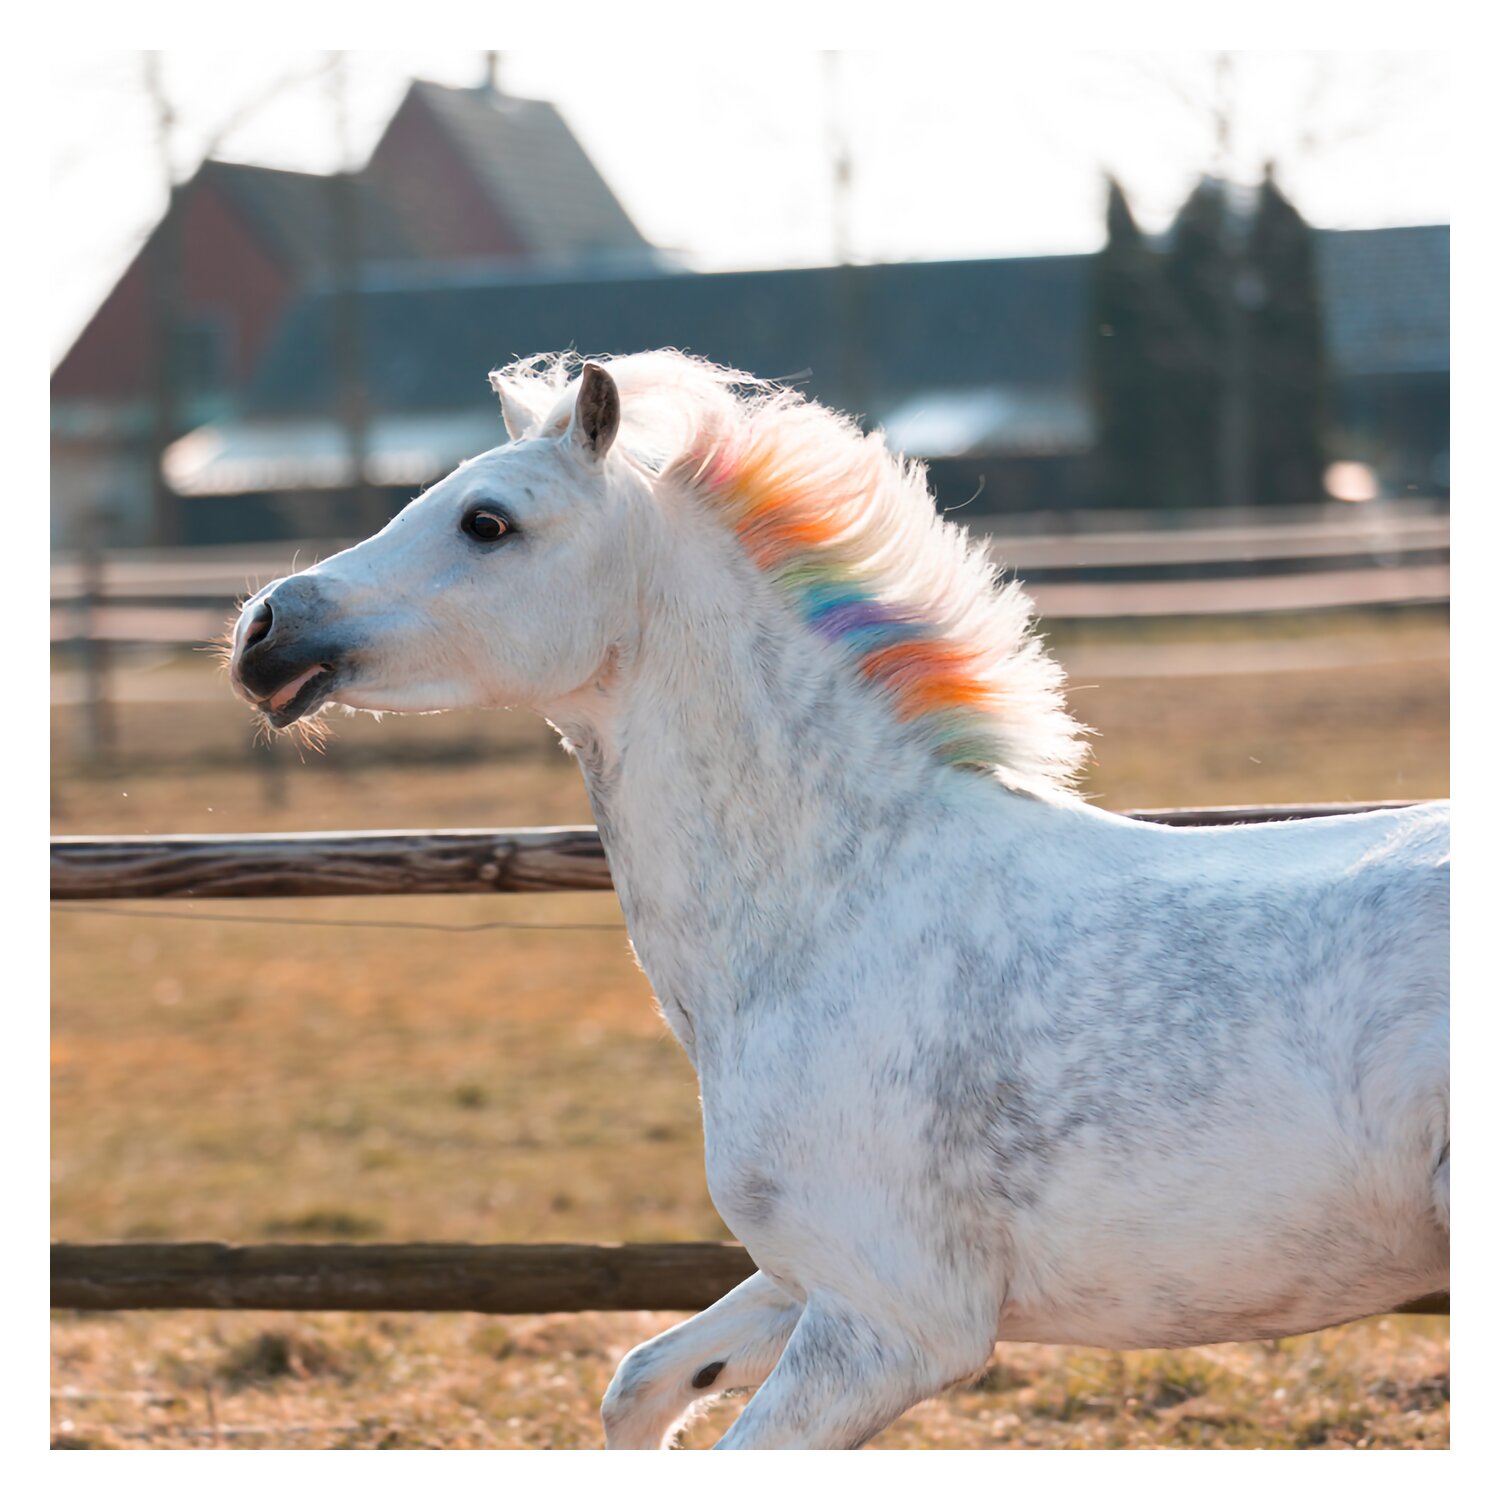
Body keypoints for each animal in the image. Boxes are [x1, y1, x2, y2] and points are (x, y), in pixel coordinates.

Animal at [227, 351, 1449, 1449]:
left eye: (487, 522)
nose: (263, 632)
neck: (841, 914)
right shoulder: (803, 1275)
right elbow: (640, 1383)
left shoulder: (896, 1324)